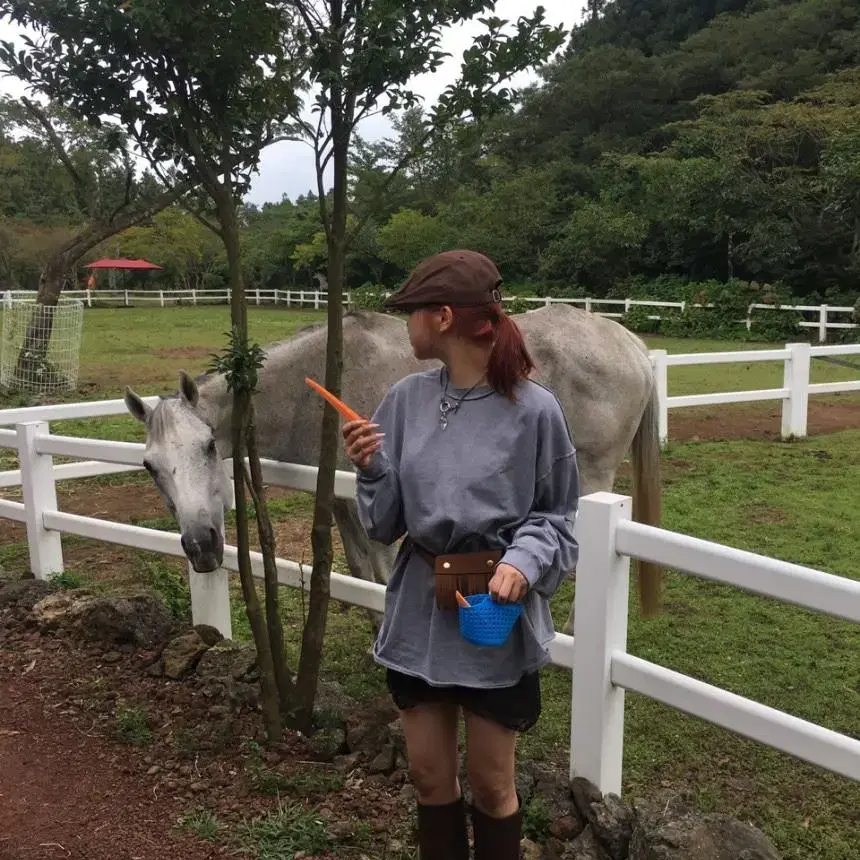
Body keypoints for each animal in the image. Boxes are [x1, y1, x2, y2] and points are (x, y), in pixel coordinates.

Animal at [122, 304, 660, 632]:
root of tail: (628, 342)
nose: (201, 546)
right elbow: (361, 570)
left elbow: (381, 573)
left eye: (210, 445)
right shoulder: (341, 501)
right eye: (150, 466)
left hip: (589, 479)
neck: (315, 390)